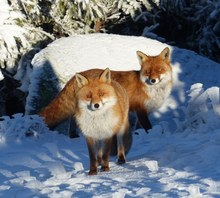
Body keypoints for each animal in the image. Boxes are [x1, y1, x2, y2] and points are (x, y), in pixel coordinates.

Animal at [39, 47, 173, 135]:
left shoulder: (146, 109)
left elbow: (139, 128)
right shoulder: (140, 109)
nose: (153, 80)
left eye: (159, 70)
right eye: (148, 72)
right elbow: (147, 127)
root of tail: (75, 76)